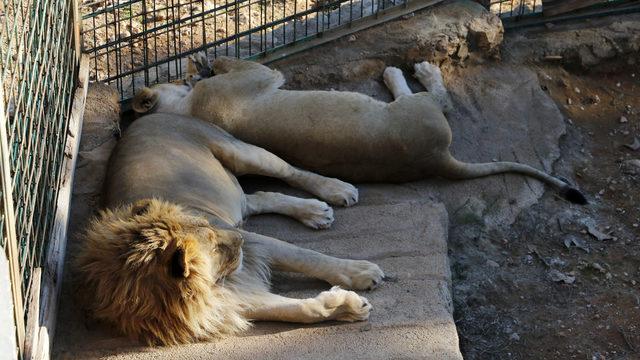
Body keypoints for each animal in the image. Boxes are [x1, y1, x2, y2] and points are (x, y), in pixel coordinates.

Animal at [77, 114, 382, 344]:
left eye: (207, 226)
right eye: (212, 242)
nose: (239, 238)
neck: (210, 285)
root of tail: (141, 120)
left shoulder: (258, 245)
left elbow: (307, 257)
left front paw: (362, 272)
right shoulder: (229, 302)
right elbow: (300, 310)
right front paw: (349, 307)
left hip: (242, 152)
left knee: (290, 172)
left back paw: (335, 190)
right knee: (259, 197)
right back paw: (313, 212)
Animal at [132, 54, 588, 205]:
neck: (191, 108)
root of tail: (438, 160)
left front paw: (198, 63)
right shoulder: (260, 75)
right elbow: (236, 61)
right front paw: (205, 61)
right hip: (415, 110)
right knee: (440, 97)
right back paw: (411, 71)